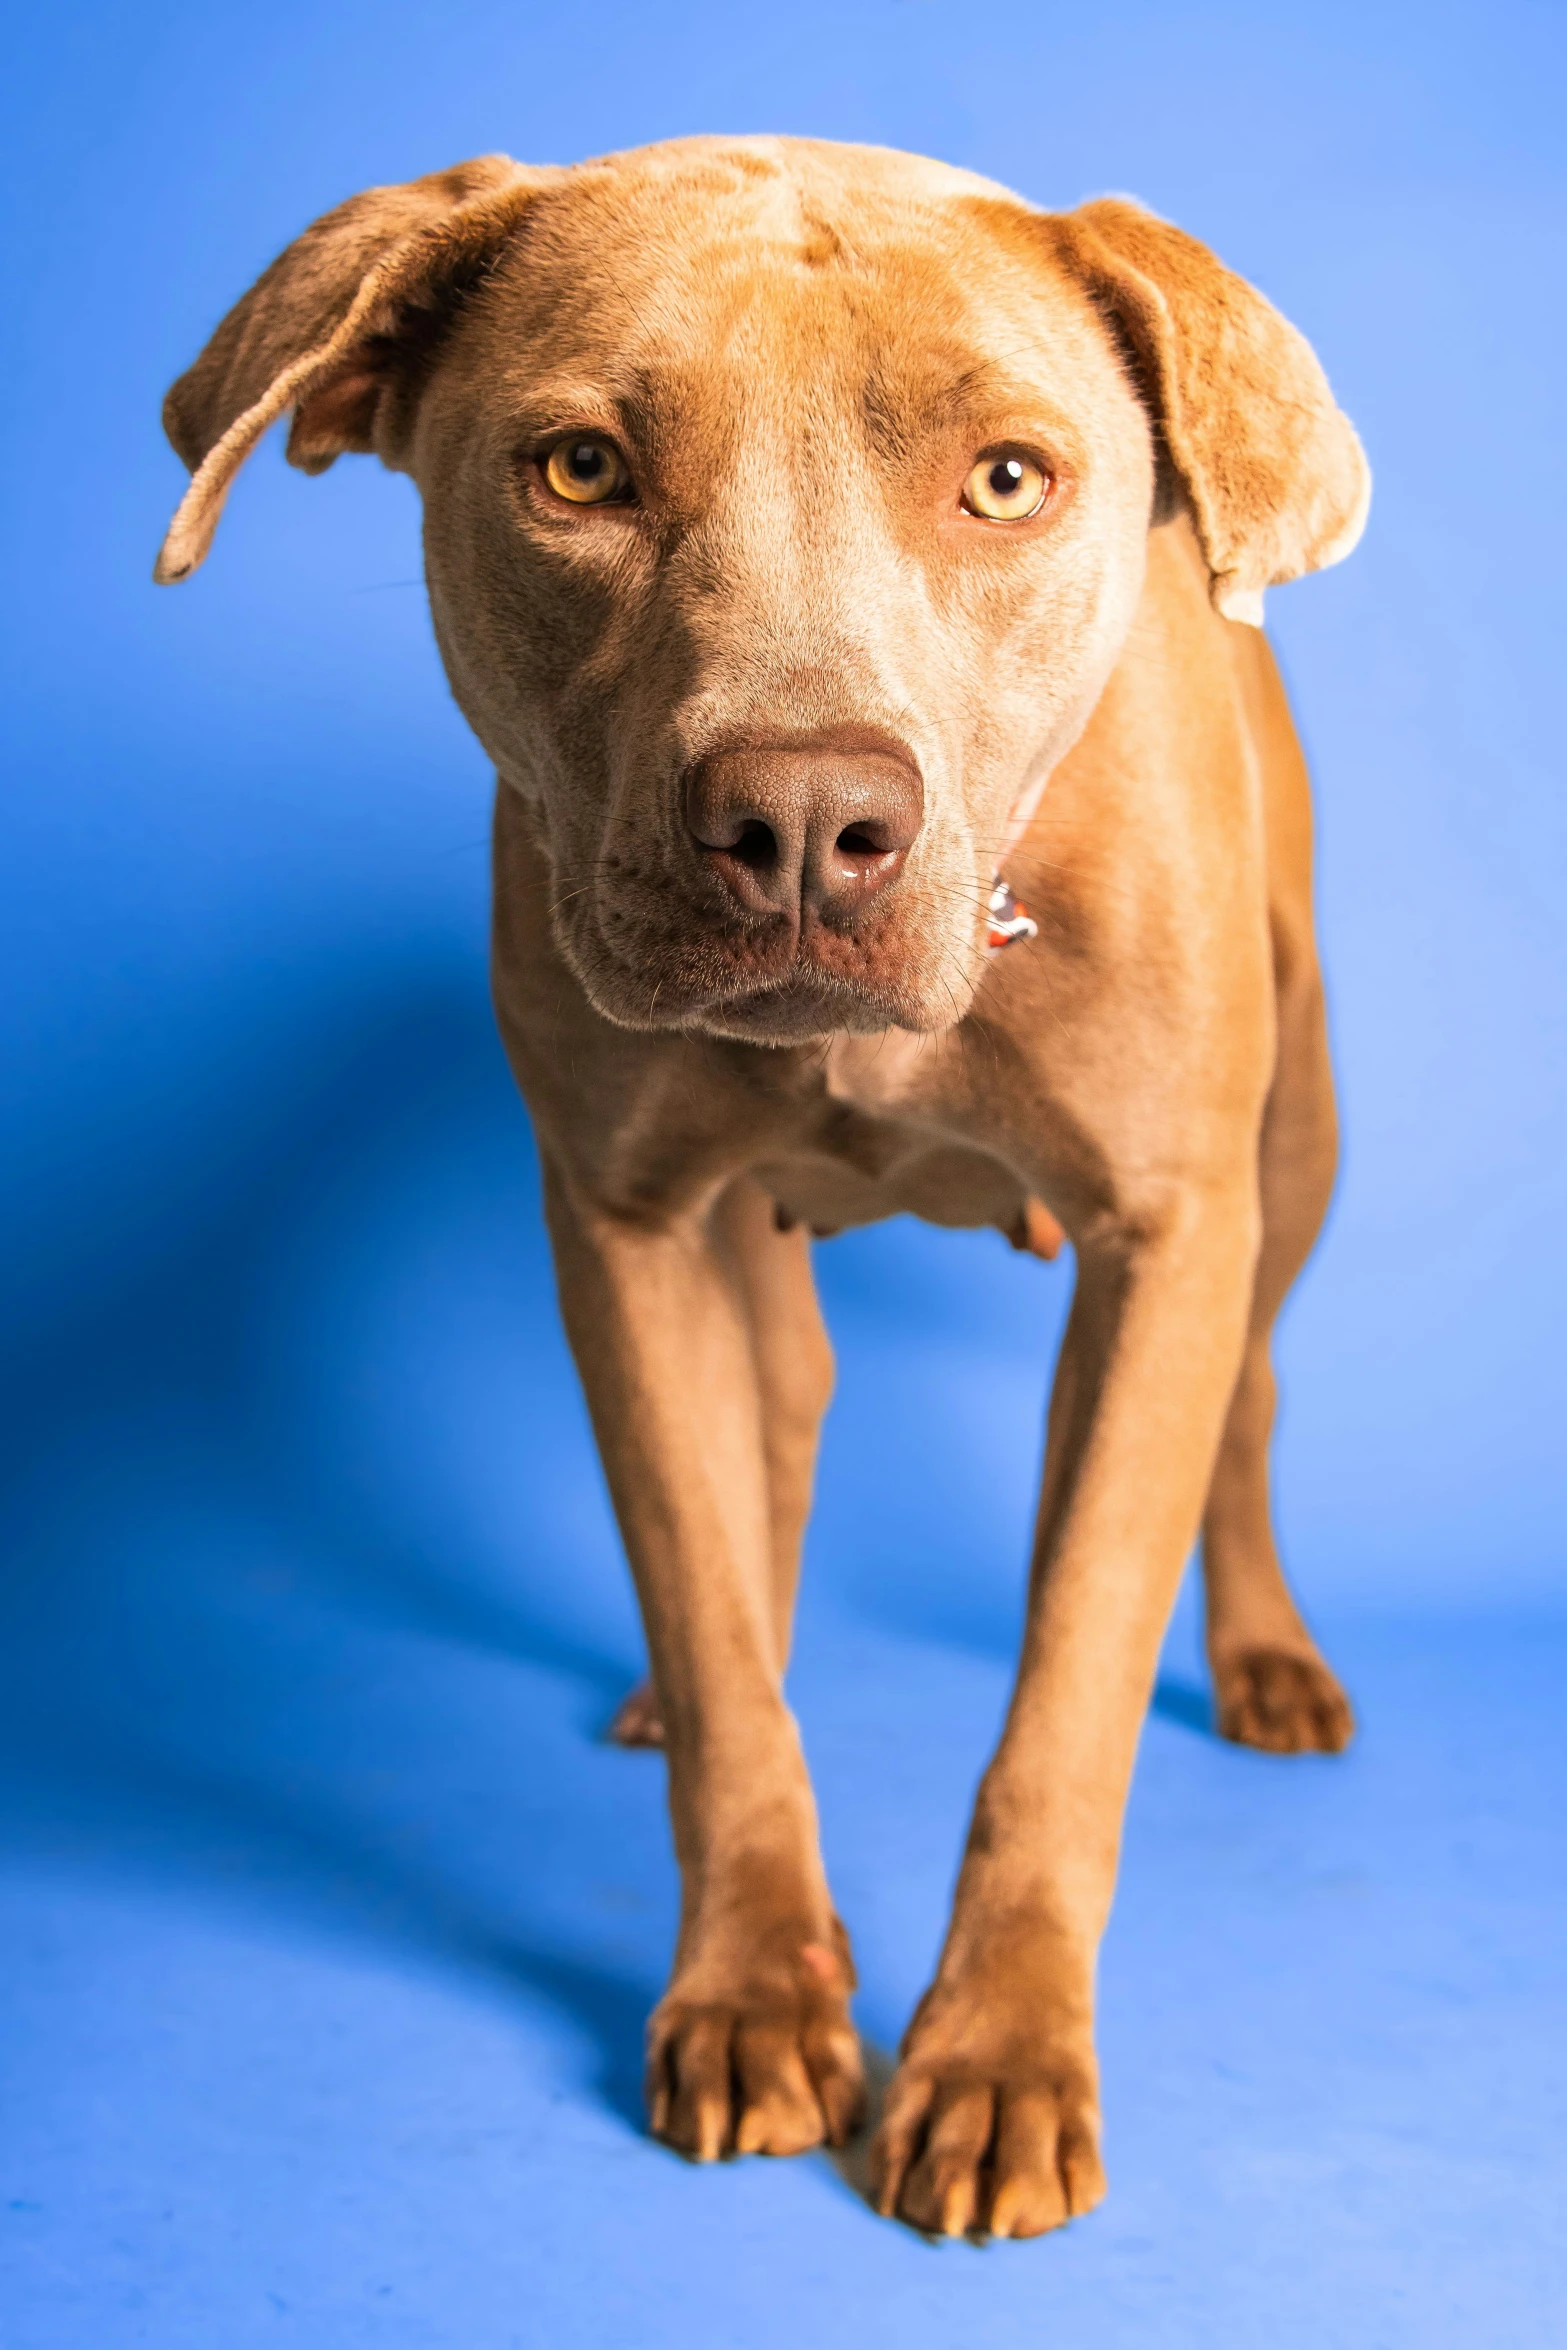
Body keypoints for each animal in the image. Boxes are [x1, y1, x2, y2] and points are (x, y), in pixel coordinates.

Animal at [152, 142, 1362, 2237]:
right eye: (578, 470)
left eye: (1007, 480)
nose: (805, 821)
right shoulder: (621, 1229)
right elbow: (718, 1638)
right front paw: (751, 1987)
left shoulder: (1166, 1235)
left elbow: (1066, 1694)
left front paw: (996, 2057)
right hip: (726, 1239)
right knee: (770, 1433)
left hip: (1293, 1162)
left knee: (1249, 1398)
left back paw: (1265, 1655)